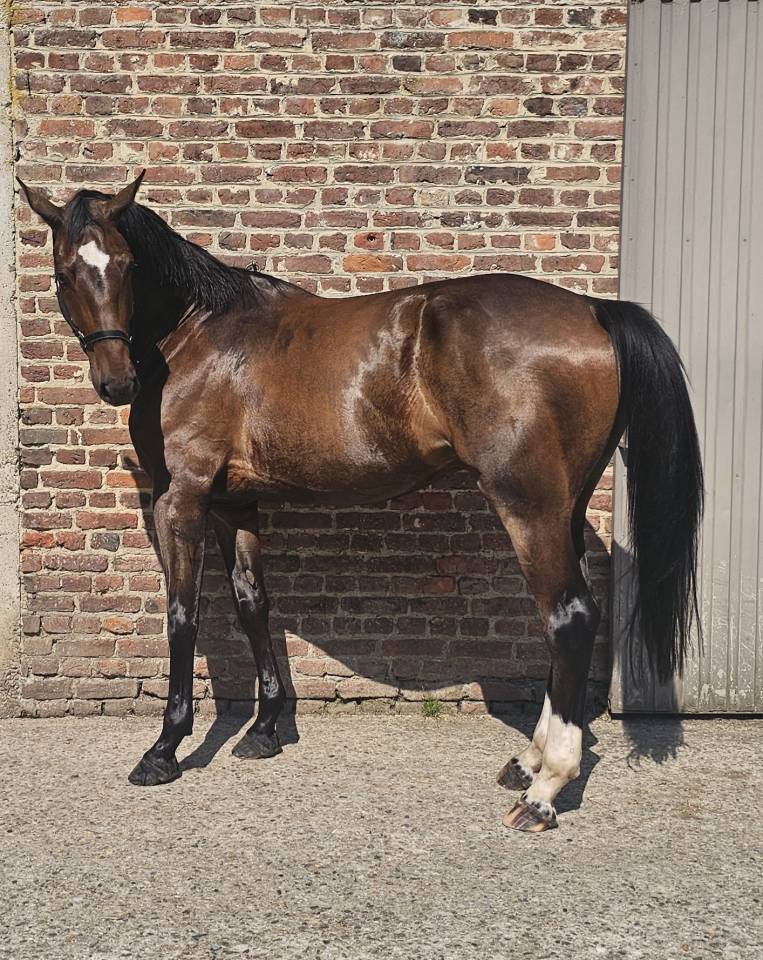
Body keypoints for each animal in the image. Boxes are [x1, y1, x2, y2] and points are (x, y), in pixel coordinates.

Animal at [18, 172, 703, 833]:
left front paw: (163, 750)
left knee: (568, 617)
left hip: (529, 506)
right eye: (65, 272)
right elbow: (252, 605)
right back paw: (526, 763)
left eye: (127, 265)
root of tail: (593, 308)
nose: (117, 382)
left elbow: (183, 617)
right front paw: (265, 730)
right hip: (567, 507)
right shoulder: (235, 505)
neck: (197, 338)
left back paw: (544, 791)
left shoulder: (181, 497)